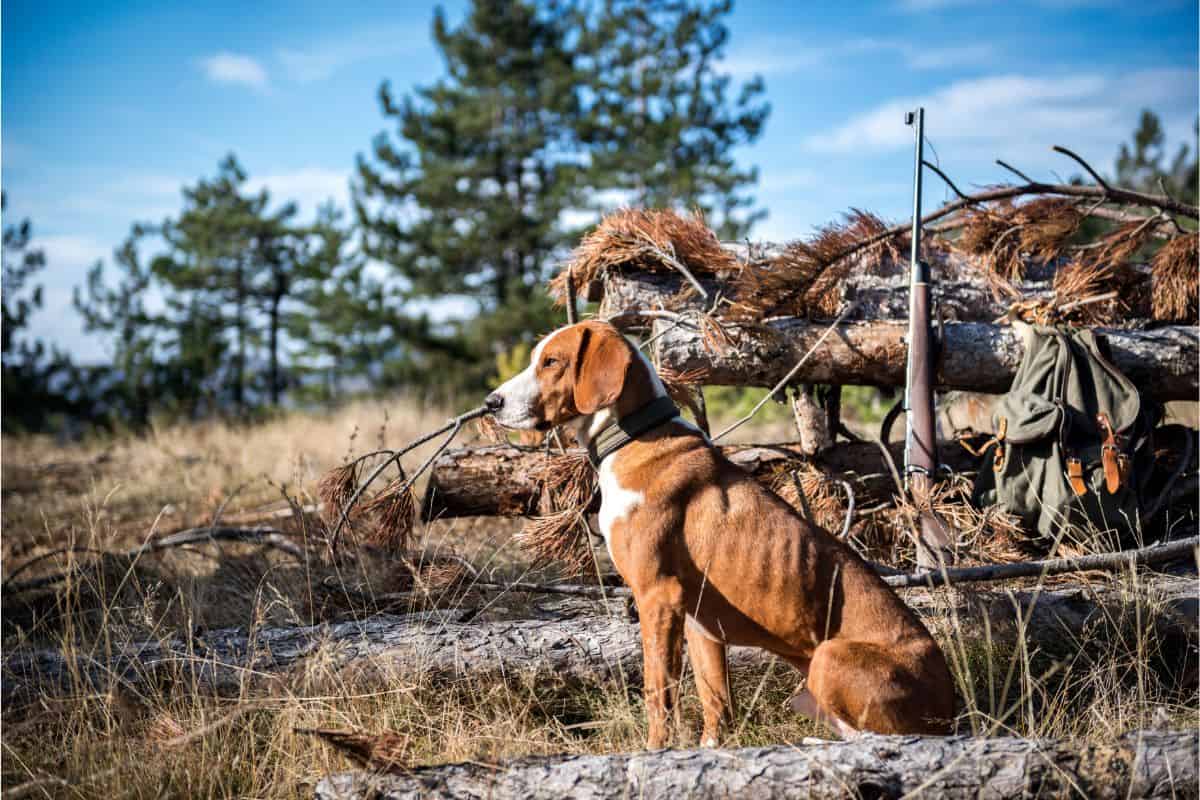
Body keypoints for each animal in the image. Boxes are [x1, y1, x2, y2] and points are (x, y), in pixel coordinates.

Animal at [487, 321, 955, 748]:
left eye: (552, 362)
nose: (492, 402)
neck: (635, 436)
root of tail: (955, 708)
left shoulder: (657, 596)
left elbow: (659, 692)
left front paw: (656, 752)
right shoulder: (700, 625)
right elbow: (715, 699)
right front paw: (709, 750)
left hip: (829, 655)